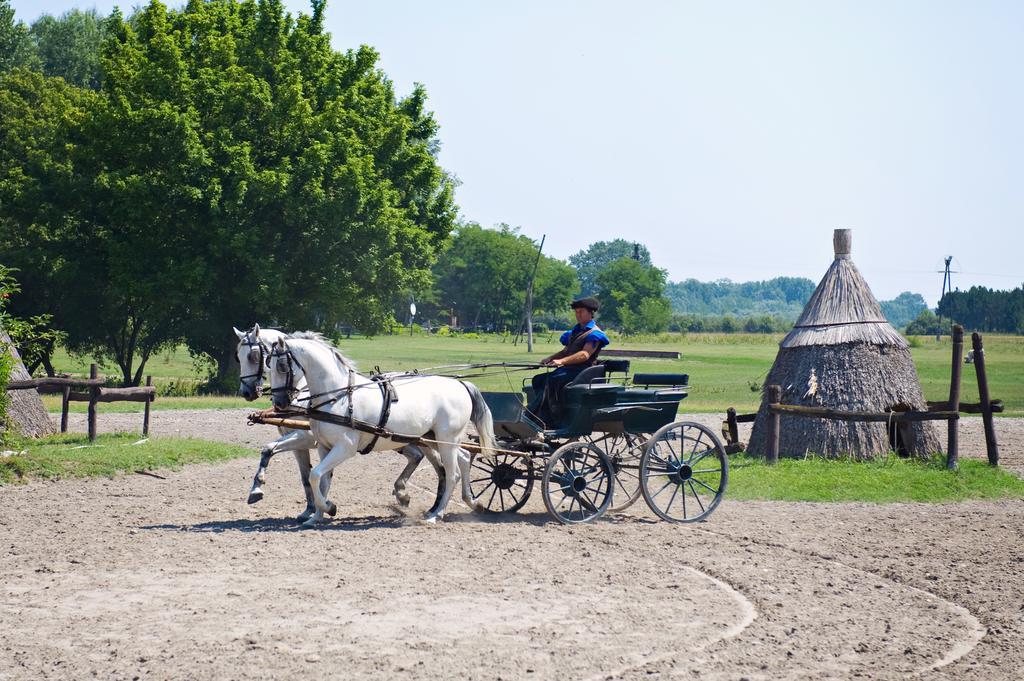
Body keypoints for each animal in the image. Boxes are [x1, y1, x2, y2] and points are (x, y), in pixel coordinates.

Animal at [234, 323, 442, 520]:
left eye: (253, 356)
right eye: (238, 357)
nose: (246, 392)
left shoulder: (305, 436)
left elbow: (271, 450)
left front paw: (258, 489)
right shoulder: (301, 444)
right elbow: (302, 474)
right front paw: (309, 510)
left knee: (439, 464)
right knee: (418, 457)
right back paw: (405, 494)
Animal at [268, 329, 495, 524]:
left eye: (281, 366)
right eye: (269, 365)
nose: (278, 402)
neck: (338, 396)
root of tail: (460, 385)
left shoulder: (345, 448)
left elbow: (314, 475)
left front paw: (328, 507)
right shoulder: (325, 447)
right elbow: (322, 480)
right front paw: (317, 516)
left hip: (447, 439)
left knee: (452, 473)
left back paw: (435, 514)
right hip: (435, 439)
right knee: (464, 458)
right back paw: (472, 502)